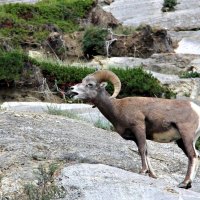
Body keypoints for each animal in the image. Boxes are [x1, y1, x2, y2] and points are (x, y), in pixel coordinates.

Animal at [68, 69, 199, 188]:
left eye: (90, 84)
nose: (71, 89)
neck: (118, 108)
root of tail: (196, 109)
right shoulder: (135, 137)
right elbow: (145, 152)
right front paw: (152, 175)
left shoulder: (139, 129)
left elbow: (141, 149)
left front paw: (142, 171)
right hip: (181, 141)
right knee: (196, 155)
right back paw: (188, 184)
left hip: (186, 136)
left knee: (192, 155)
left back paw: (184, 183)